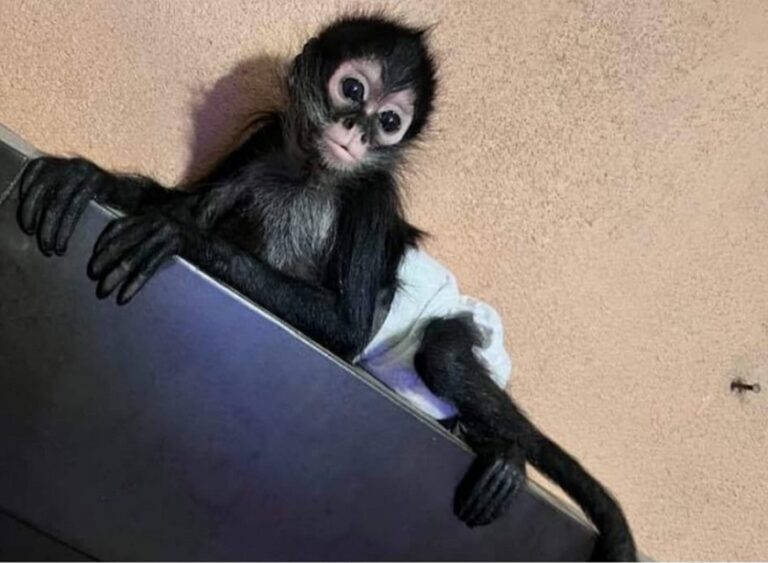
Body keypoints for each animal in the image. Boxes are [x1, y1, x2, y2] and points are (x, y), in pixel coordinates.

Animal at [15, 14, 636, 560]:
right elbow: (185, 202)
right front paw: (88, 177)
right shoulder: (266, 141)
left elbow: (346, 329)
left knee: (442, 353)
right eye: (352, 89)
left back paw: (508, 451)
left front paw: (183, 237)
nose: (357, 130)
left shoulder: (372, 197)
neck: (312, 173)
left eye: (390, 122)